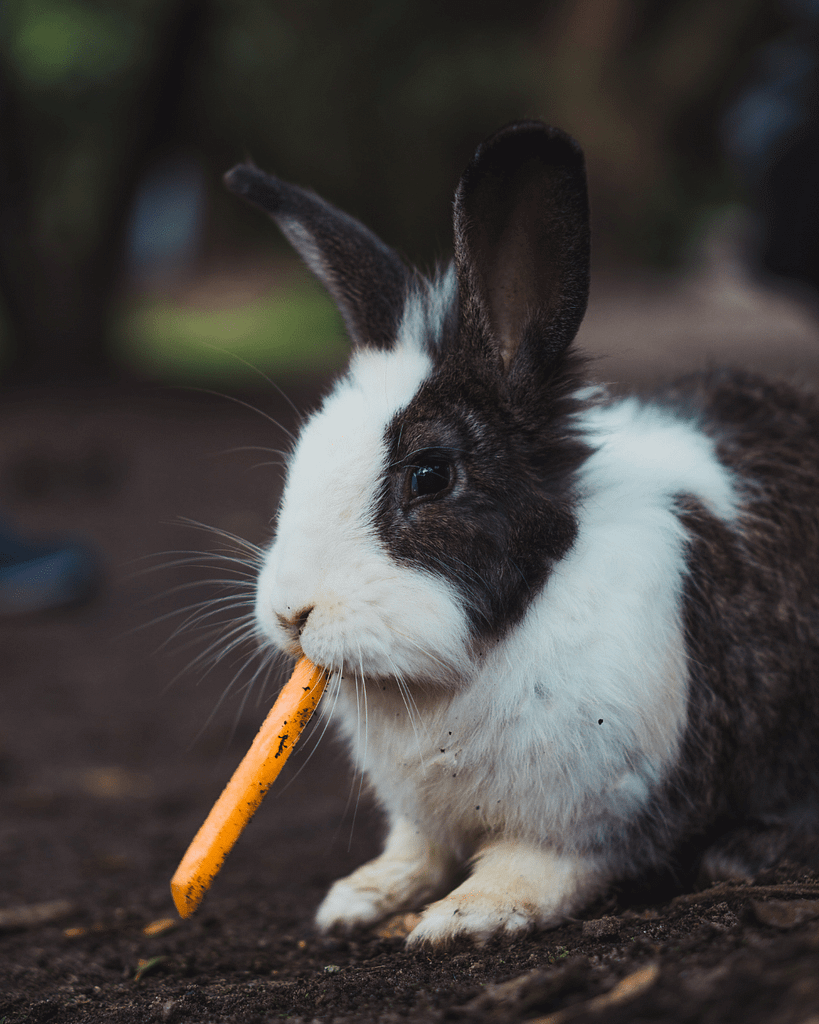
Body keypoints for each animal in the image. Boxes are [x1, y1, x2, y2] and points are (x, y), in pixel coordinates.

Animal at [223, 121, 819, 947]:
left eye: (430, 475)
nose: (292, 613)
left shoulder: (587, 815)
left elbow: (533, 867)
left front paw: (463, 917)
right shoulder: (420, 816)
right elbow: (413, 848)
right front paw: (358, 898)